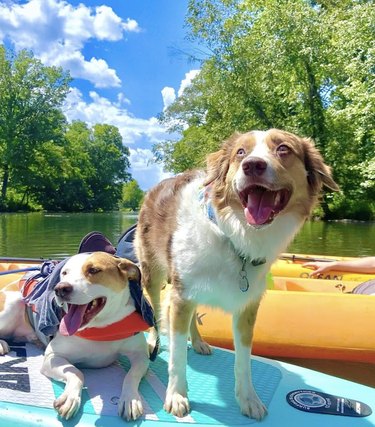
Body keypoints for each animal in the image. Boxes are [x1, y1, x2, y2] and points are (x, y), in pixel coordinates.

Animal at [0, 252, 150, 422]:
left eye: (93, 270)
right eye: (64, 273)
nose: (60, 288)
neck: (101, 326)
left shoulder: (141, 356)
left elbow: (132, 375)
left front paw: (130, 399)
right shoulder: (52, 357)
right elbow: (76, 372)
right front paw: (70, 398)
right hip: (12, 305)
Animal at [136, 128, 340, 422]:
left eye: (283, 149)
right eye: (240, 153)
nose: (252, 165)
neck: (235, 235)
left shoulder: (247, 305)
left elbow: (244, 359)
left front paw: (248, 399)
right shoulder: (181, 294)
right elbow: (177, 356)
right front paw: (176, 395)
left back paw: (199, 342)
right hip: (153, 271)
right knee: (153, 306)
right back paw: (154, 339)